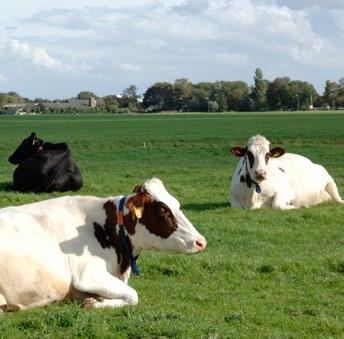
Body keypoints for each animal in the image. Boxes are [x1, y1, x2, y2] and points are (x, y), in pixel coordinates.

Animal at [0, 178, 207, 314]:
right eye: (163, 211)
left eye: (177, 204)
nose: (201, 242)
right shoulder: (88, 276)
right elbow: (133, 296)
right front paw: (94, 303)